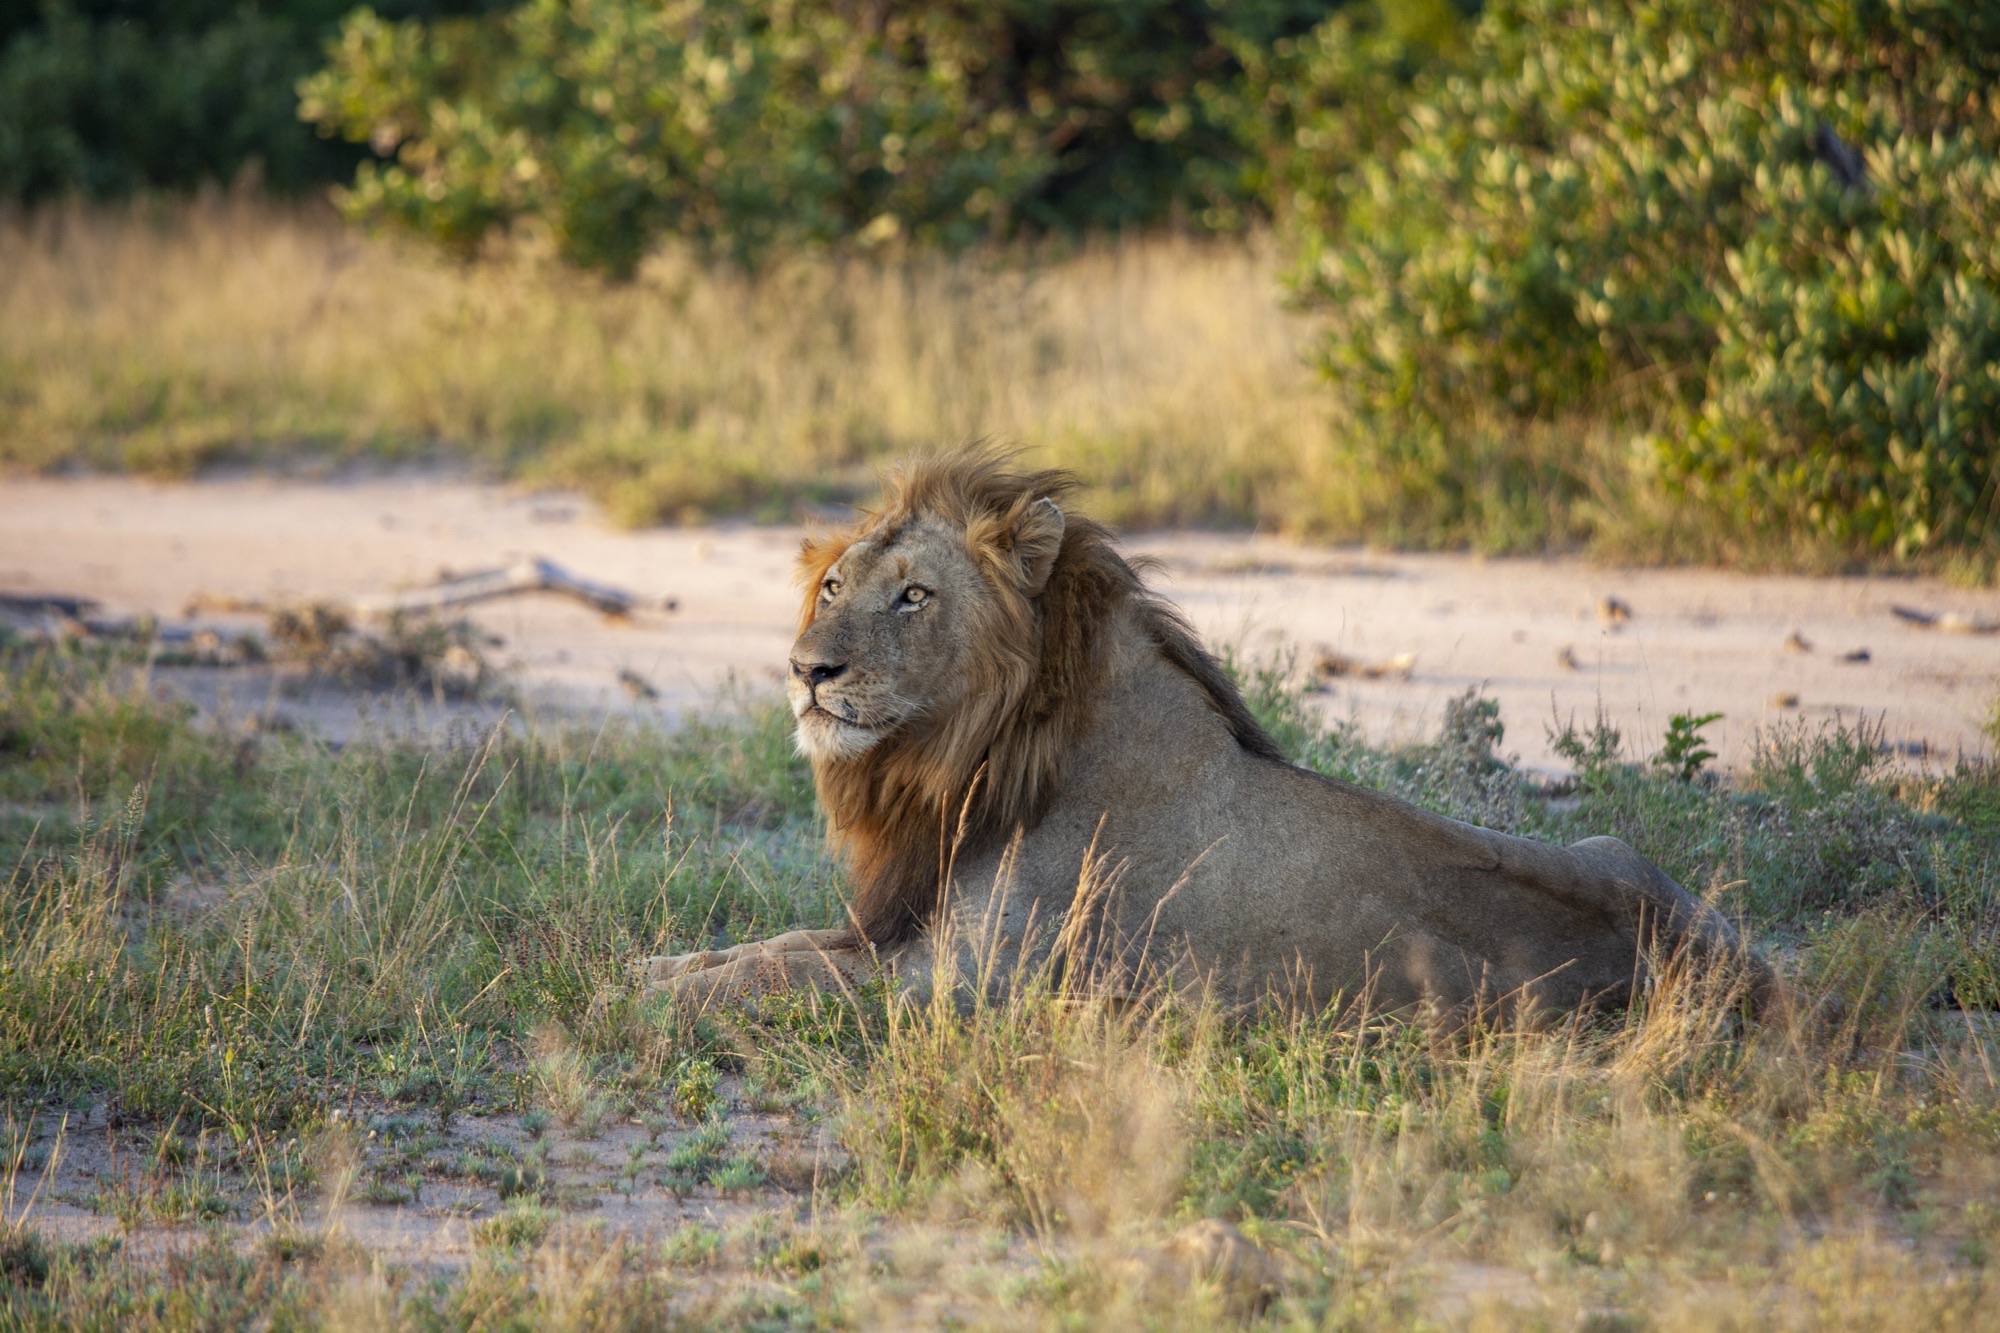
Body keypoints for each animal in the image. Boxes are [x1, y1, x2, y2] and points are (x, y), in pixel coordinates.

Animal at [636, 446, 1768, 1016]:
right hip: (1610, 842)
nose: (805, 670)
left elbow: (784, 973)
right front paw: (657, 965)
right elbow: (774, 942)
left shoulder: (961, 987)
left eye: (913, 595)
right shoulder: (897, 927)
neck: (966, 760)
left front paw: (656, 998)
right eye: (832, 585)